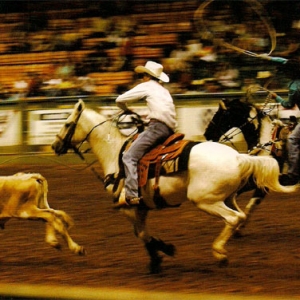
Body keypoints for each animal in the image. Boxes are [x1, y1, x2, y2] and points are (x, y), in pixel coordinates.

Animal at [50, 99, 296, 274]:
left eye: (67, 124)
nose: (54, 145)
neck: (116, 153)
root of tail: (239, 157)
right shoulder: (141, 207)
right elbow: (142, 233)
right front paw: (161, 254)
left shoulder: (128, 207)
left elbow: (140, 233)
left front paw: (159, 256)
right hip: (227, 197)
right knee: (241, 215)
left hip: (205, 200)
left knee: (233, 218)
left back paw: (220, 253)